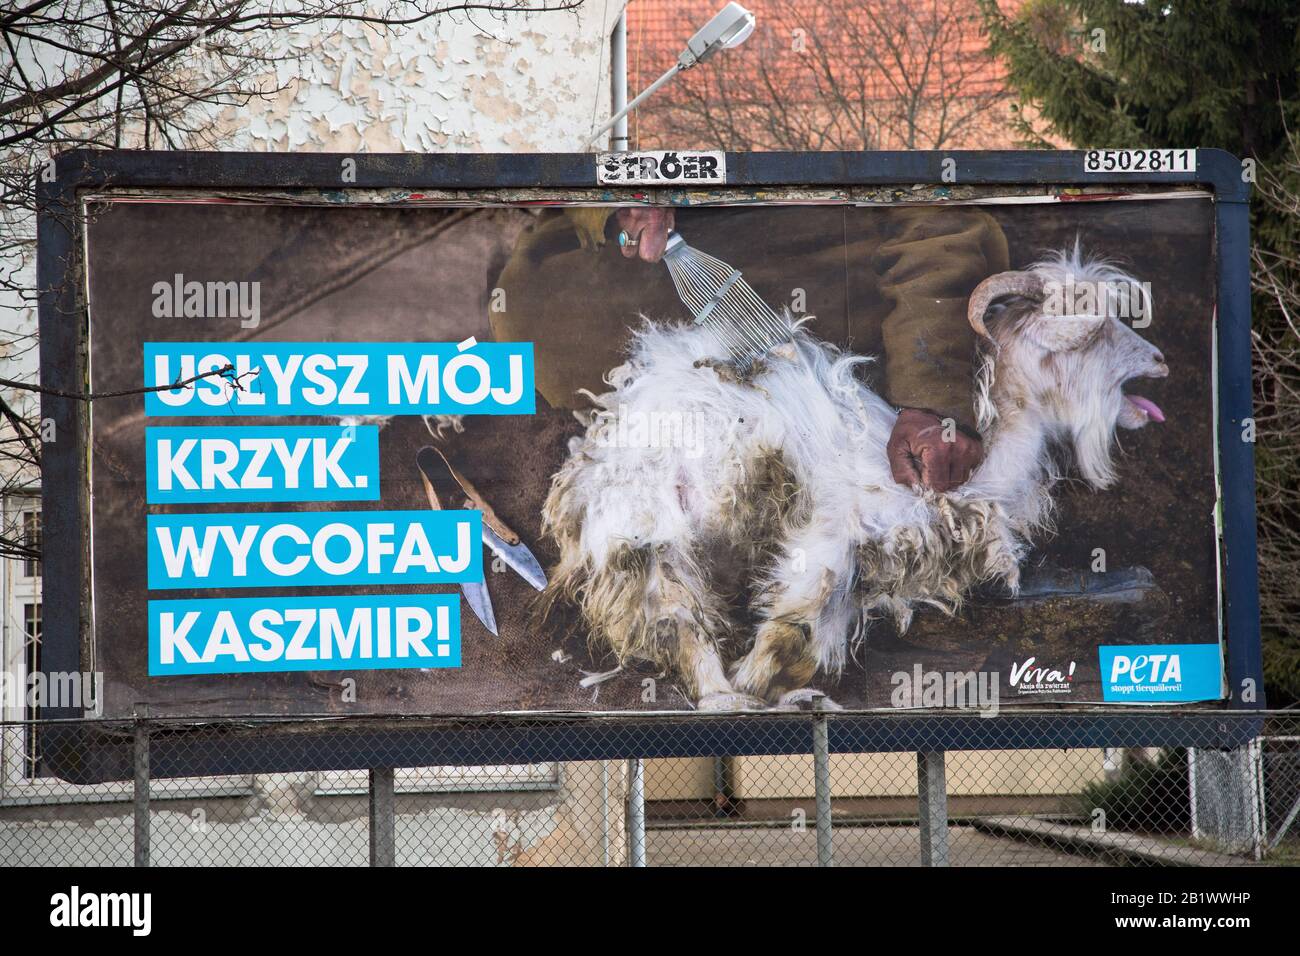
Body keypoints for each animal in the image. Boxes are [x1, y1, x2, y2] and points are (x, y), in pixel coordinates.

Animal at [538, 247, 1170, 712]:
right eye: (1092, 333)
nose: (1160, 361)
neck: (976, 476)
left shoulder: (859, 578)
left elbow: (809, 642)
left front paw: (789, 689)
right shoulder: (830, 540)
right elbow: (789, 629)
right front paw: (757, 687)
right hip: (647, 533)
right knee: (678, 621)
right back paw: (722, 696)